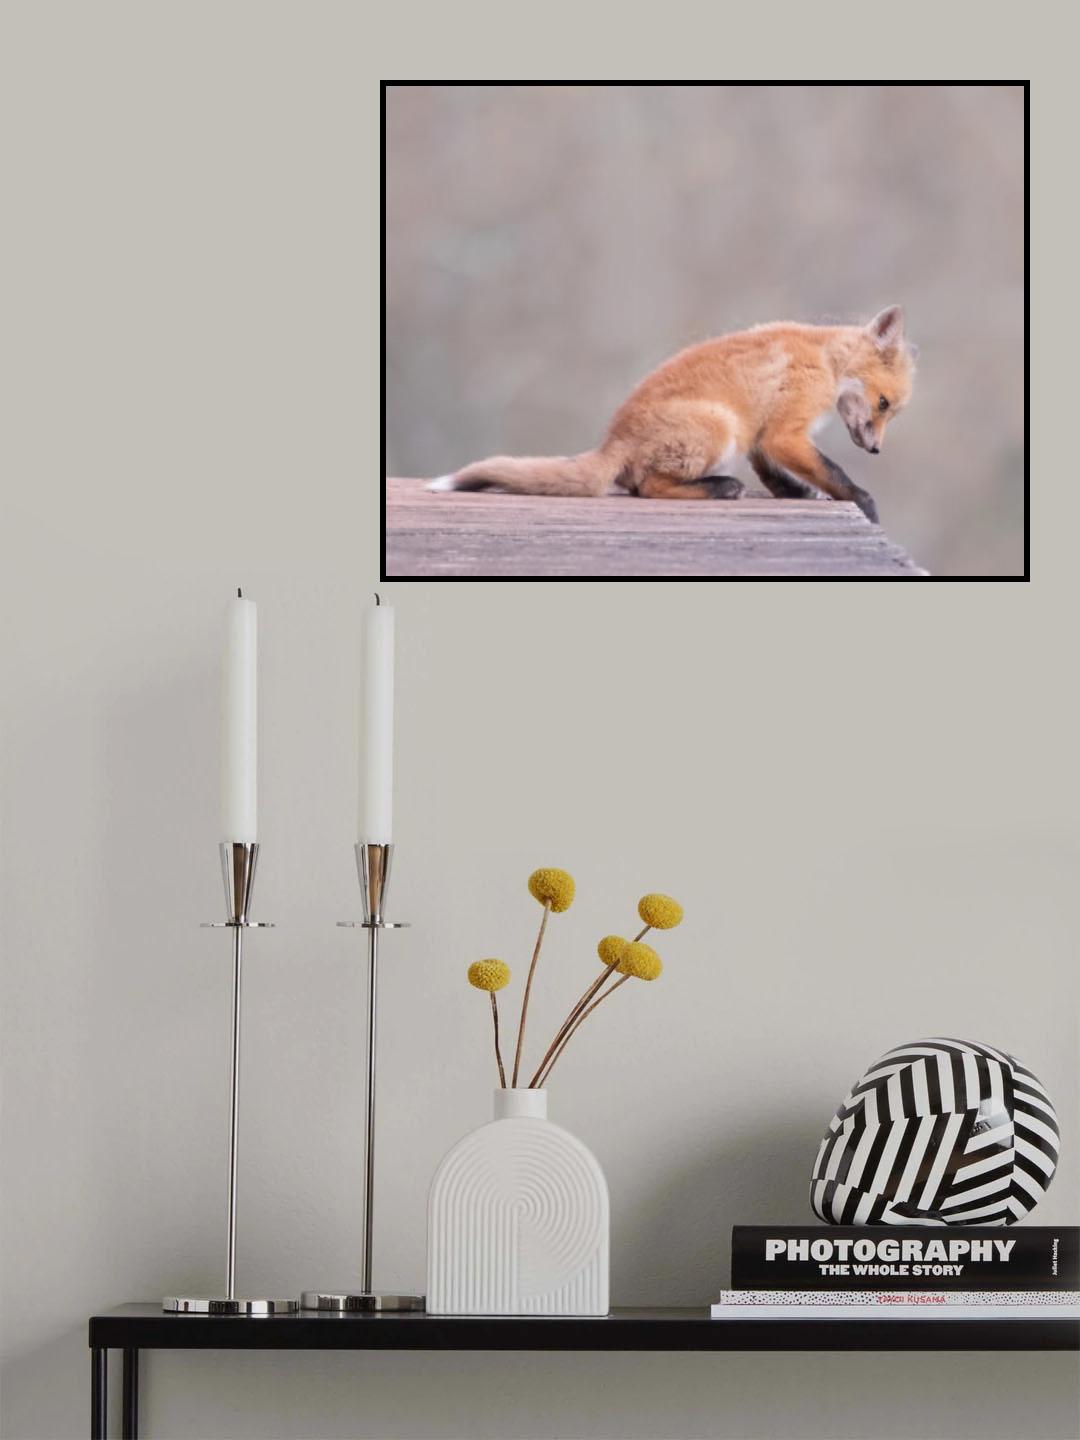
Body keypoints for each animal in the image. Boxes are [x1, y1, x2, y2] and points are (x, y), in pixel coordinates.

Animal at [427, 306, 916, 524]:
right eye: (884, 405)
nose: (875, 450)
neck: (826, 360)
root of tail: (612, 439)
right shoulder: (784, 431)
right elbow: (832, 472)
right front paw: (863, 501)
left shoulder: (760, 435)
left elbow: (777, 475)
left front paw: (795, 494)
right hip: (720, 426)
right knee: (646, 487)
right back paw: (721, 488)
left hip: (730, 430)